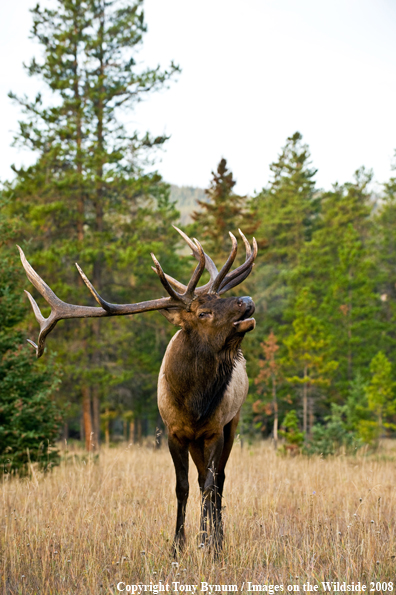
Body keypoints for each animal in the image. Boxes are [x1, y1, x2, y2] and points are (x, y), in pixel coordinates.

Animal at [19, 227, 256, 556]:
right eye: (203, 312)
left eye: (221, 298)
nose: (246, 300)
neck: (194, 404)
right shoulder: (173, 432)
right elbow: (182, 487)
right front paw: (178, 546)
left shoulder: (215, 429)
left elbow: (211, 486)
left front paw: (207, 543)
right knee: (201, 480)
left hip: (232, 423)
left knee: (217, 482)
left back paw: (217, 540)